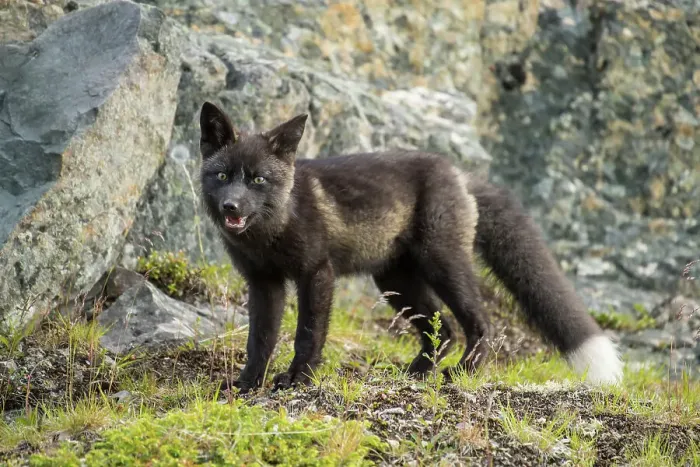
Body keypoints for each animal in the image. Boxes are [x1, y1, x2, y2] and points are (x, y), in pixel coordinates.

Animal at [198, 101, 624, 393]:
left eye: (258, 179)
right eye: (222, 176)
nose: (231, 207)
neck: (272, 231)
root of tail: (458, 174)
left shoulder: (316, 273)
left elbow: (308, 335)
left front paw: (299, 379)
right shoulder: (263, 282)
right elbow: (260, 340)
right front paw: (247, 384)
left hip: (442, 265)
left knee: (480, 324)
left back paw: (463, 373)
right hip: (395, 282)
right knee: (444, 330)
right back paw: (416, 374)